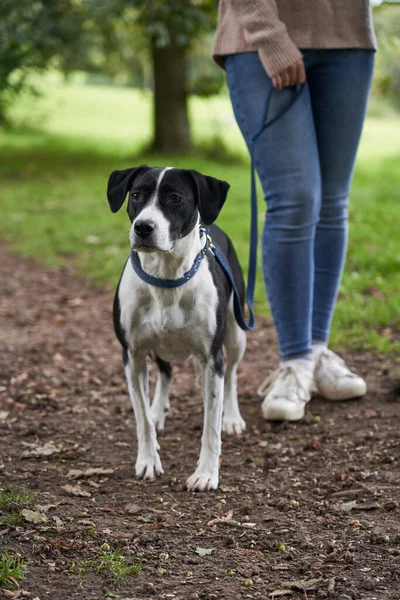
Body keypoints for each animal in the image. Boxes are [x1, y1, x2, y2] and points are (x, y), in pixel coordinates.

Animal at [108, 165, 248, 492]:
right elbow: (142, 418)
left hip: (236, 335)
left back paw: (231, 416)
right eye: (136, 195)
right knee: (166, 371)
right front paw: (148, 460)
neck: (166, 277)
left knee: (231, 375)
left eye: (175, 198)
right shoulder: (132, 355)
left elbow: (210, 426)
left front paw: (206, 473)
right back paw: (159, 408)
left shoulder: (212, 356)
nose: (143, 227)